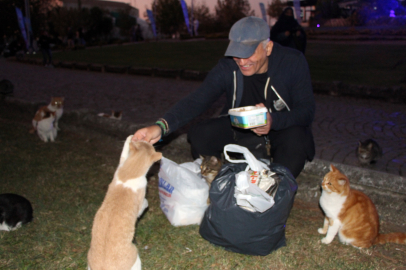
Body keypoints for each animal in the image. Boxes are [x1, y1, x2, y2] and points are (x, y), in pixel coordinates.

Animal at [87, 136, 162, 268]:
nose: (148, 140)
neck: (130, 173)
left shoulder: (121, 163)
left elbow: (124, 151)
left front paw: (130, 138)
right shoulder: (140, 204)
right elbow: (144, 203)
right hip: (136, 257)